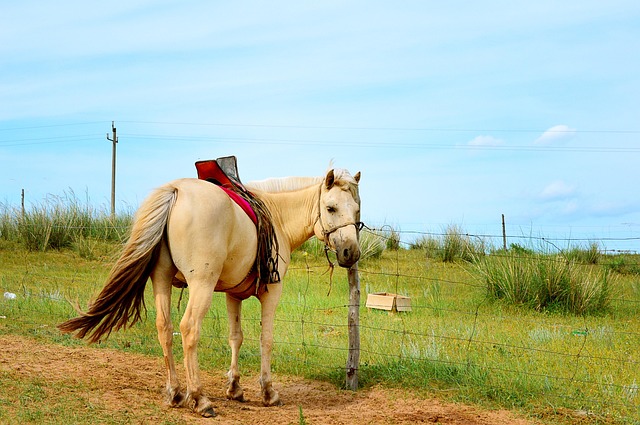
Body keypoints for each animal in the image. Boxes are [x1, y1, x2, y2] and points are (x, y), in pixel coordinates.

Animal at [58, 167, 362, 417]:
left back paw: (175, 392)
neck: (277, 215)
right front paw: (268, 392)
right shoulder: (272, 292)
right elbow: (265, 340)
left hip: (161, 279)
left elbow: (236, 338)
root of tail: (176, 190)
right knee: (189, 329)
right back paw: (199, 398)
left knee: (165, 328)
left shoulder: (233, 295)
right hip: (201, 285)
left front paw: (235, 388)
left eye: (357, 210)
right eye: (331, 208)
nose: (351, 252)